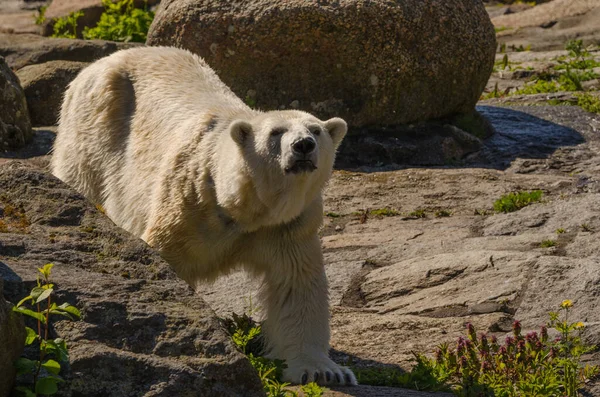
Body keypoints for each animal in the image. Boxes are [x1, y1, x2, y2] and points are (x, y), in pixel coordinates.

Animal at [51, 45, 356, 384]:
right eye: (276, 132)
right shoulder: (188, 207)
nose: (304, 145)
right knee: (81, 178)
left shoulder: (288, 225)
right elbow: (164, 261)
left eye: (316, 130)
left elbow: (297, 286)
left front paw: (322, 371)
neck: (245, 209)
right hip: (94, 128)